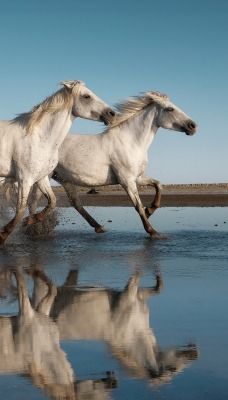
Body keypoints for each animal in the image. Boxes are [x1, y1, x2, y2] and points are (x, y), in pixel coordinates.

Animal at [0, 80, 115, 244]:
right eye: (86, 96)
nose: (112, 114)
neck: (39, 138)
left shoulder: (41, 178)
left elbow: (52, 202)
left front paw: (31, 220)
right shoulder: (25, 179)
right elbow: (20, 209)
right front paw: (3, 235)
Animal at [29, 89, 198, 236]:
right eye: (170, 109)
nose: (193, 126)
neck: (131, 142)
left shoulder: (138, 177)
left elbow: (158, 185)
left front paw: (150, 210)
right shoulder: (126, 180)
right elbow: (138, 206)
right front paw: (153, 231)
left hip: (65, 179)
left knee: (75, 203)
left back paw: (98, 227)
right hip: (45, 177)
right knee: (35, 202)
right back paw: (33, 226)